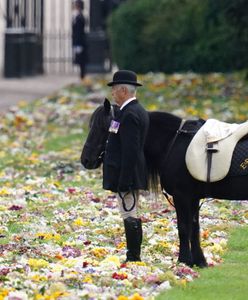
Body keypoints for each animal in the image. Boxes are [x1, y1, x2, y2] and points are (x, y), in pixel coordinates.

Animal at [82, 99, 248, 268]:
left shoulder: (182, 196)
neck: (174, 142)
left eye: (100, 127)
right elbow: (194, 228)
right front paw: (199, 261)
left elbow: (183, 228)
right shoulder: (193, 197)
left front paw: (183, 260)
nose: (85, 159)